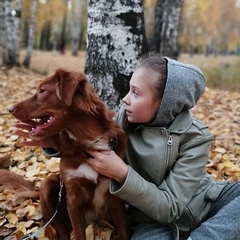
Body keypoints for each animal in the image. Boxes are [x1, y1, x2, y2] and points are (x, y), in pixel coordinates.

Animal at [7, 69, 129, 240]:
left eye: (42, 90)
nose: (10, 109)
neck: (87, 141)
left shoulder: (115, 200)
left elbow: (125, 232)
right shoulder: (73, 199)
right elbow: (79, 234)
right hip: (47, 186)